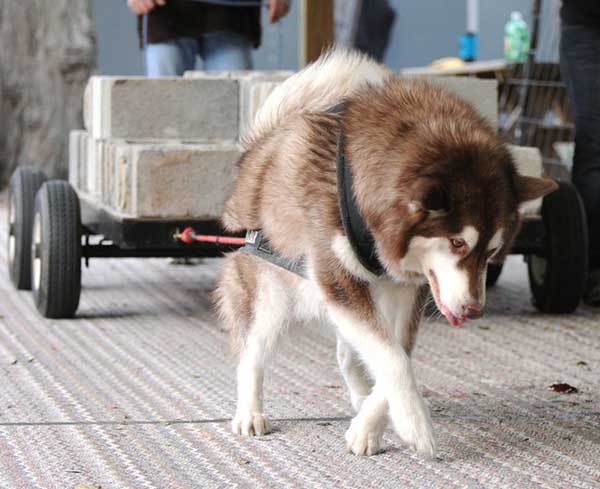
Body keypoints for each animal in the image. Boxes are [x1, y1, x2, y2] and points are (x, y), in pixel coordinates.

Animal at [216, 50, 556, 458]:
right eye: (457, 243)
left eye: (492, 253)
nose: (475, 311)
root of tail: (258, 149)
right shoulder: (338, 278)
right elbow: (392, 357)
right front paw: (415, 424)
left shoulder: (405, 290)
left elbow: (397, 351)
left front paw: (370, 426)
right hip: (273, 295)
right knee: (252, 353)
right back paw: (249, 412)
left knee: (348, 354)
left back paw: (361, 399)